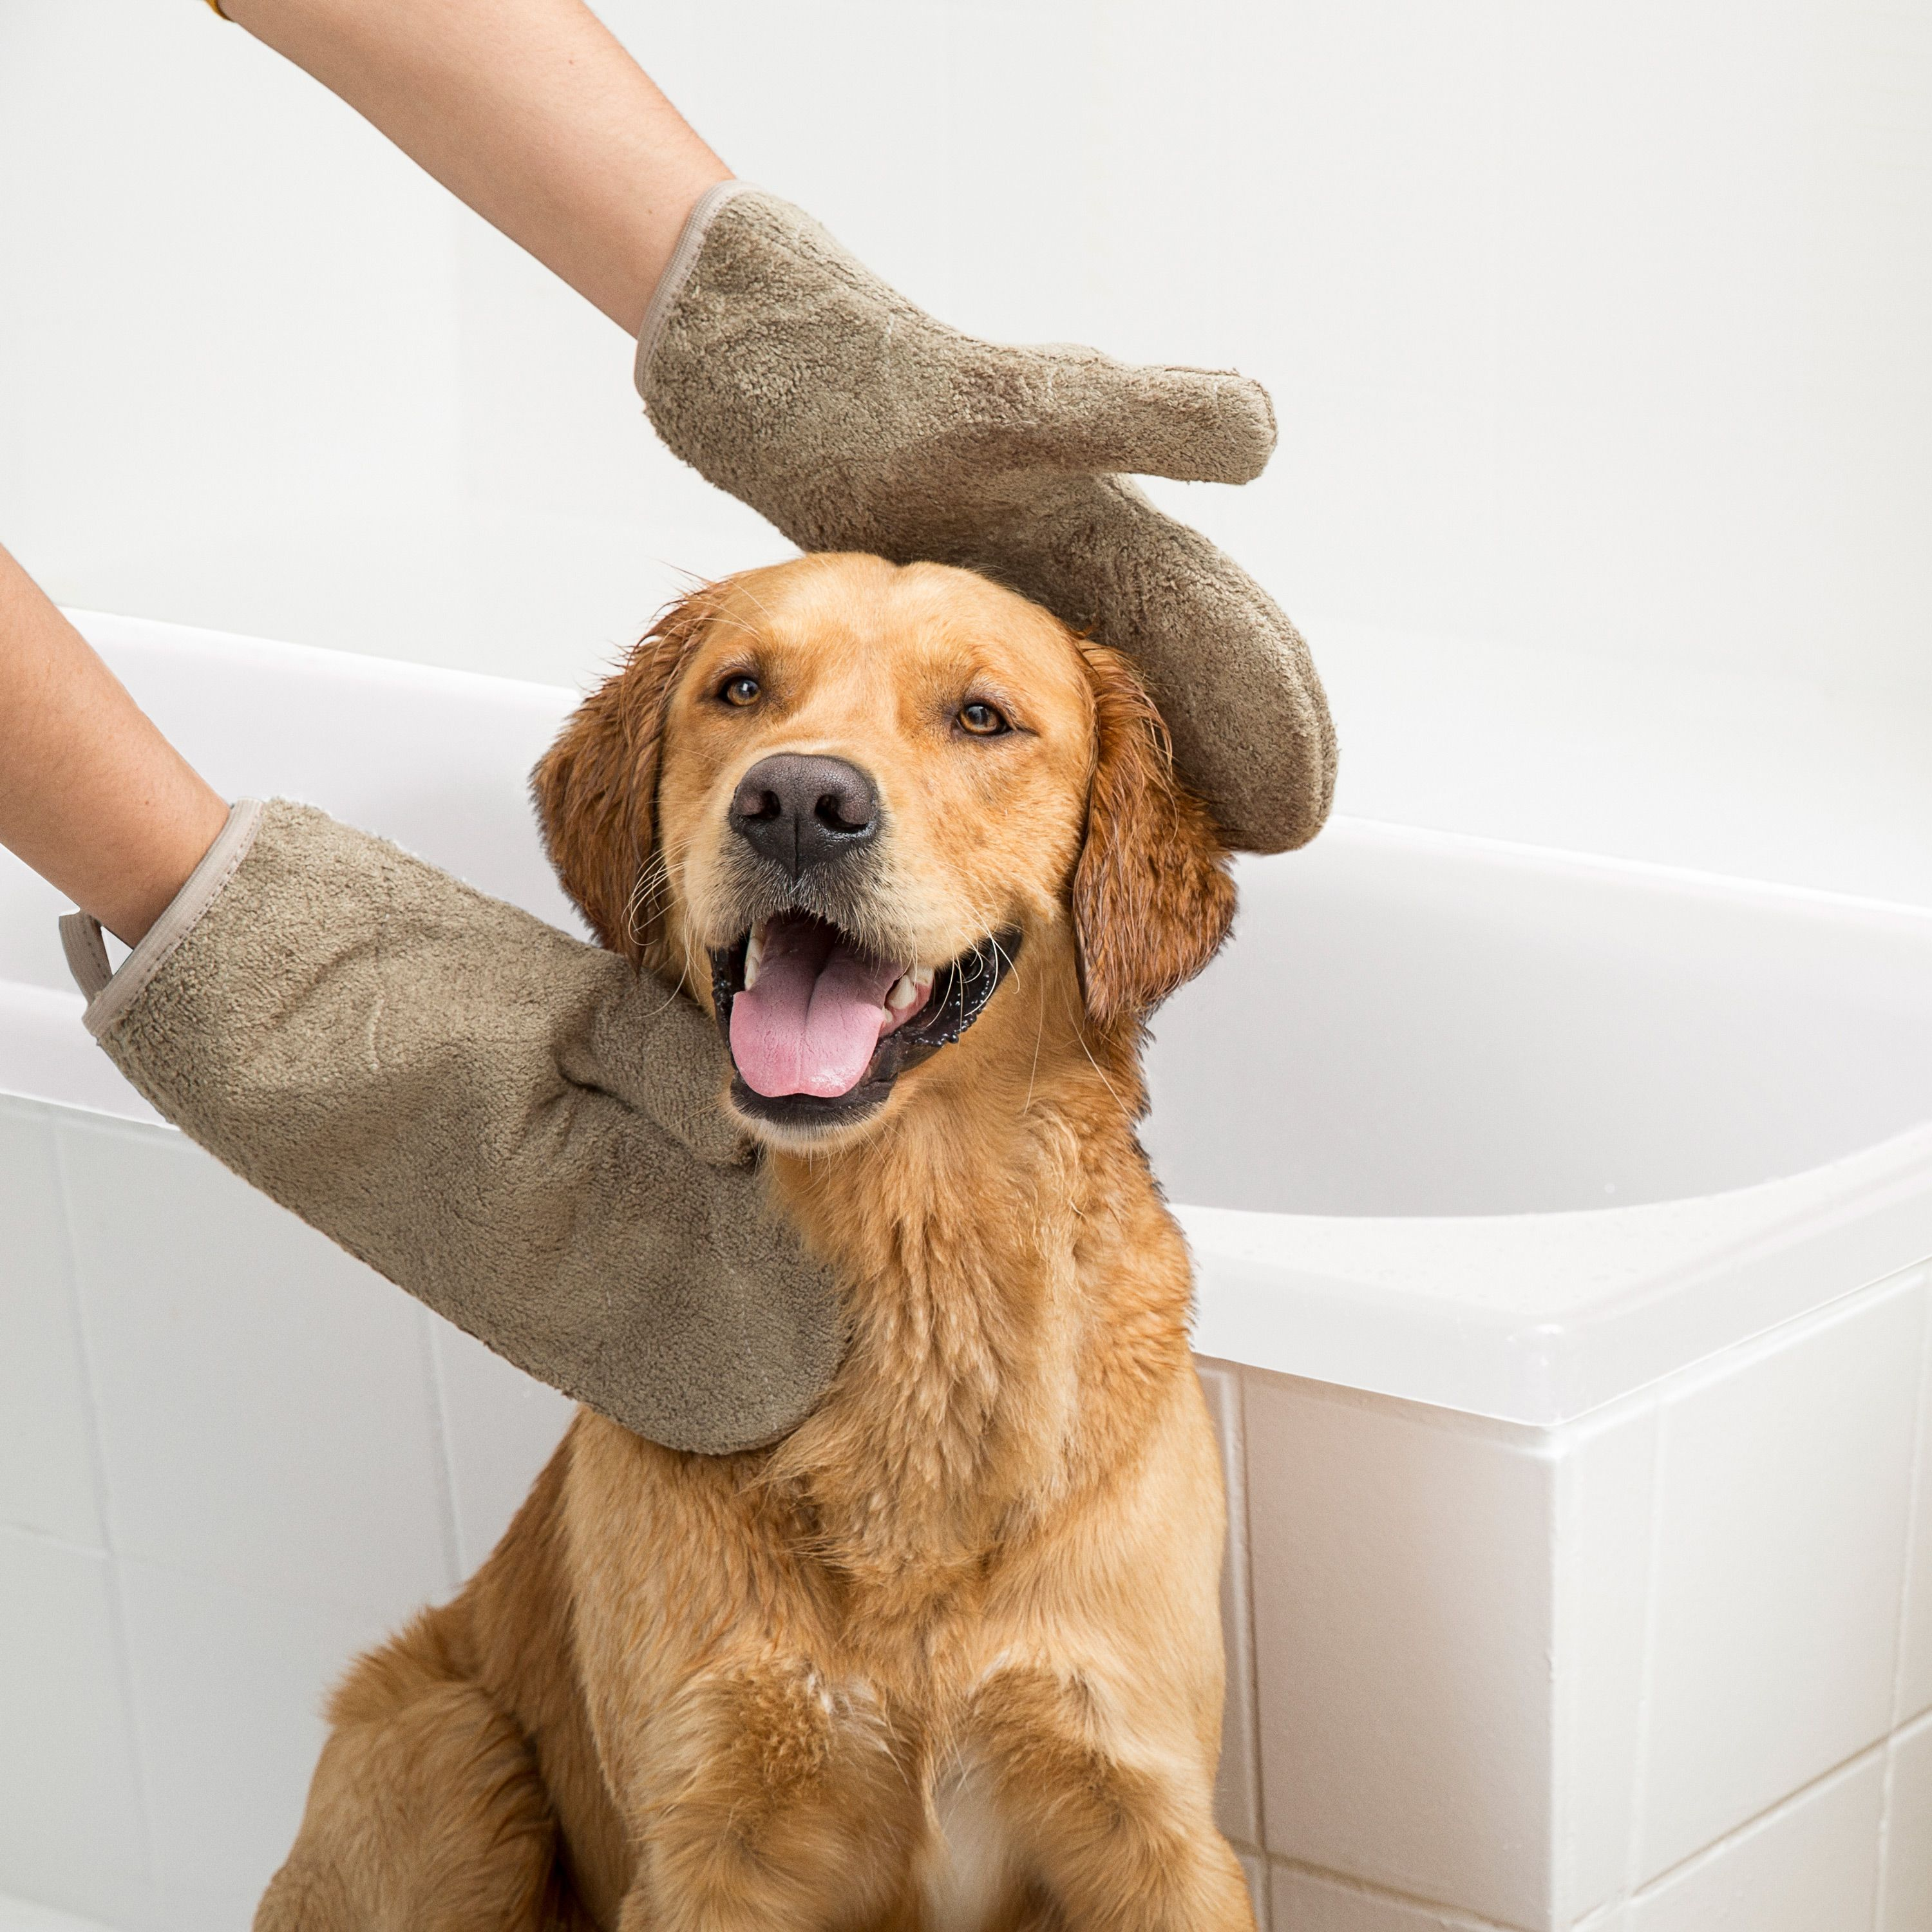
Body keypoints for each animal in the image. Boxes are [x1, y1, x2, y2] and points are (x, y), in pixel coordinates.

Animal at [257, 553, 1244, 1924]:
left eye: (981, 717)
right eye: (740, 690)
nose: (799, 803)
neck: (912, 1278)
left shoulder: (1147, 1813)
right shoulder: (709, 1837)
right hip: (445, 1745)